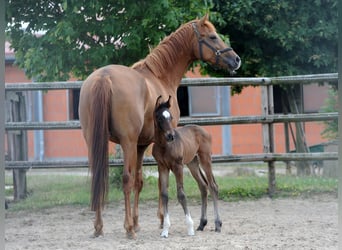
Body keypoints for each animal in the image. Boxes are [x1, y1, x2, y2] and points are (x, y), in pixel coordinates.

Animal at [152, 95, 222, 238]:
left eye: (171, 117)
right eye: (160, 118)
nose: (171, 136)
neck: (164, 146)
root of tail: (203, 130)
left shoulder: (178, 166)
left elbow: (181, 195)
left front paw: (190, 228)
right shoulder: (162, 167)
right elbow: (164, 195)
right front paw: (165, 230)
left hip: (205, 159)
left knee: (213, 186)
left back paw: (217, 224)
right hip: (192, 163)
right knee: (203, 186)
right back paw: (202, 224)